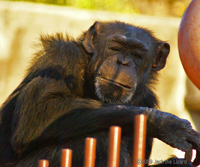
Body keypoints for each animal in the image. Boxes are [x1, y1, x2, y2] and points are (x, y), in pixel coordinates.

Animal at [0, 20, 200, 167]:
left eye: (137, 54)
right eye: (115, 47)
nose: (123, 61)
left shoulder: (148, 99)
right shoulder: (62, 57)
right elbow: (39, 109)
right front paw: (166, 123)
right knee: (98, 137)